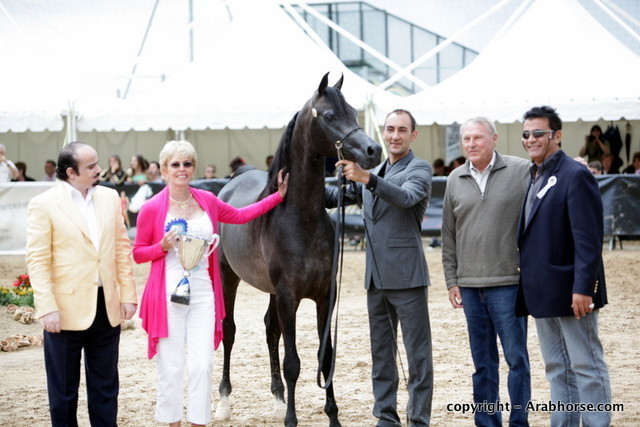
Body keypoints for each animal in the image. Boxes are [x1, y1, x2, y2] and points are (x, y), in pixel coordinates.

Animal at [215, 73, 382, 426]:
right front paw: (292, 419)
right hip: (227, 277)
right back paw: (224, 401)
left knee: (270, 330)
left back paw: (278, 400)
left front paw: (333, 417)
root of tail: (233, 180)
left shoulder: (324, 296)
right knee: (229, 330)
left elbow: (326, 358)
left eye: (354, 113)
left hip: (270, 291)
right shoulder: (289, 297)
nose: (373, 150)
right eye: (330, 116)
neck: (301, 219)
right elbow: (293, 362)